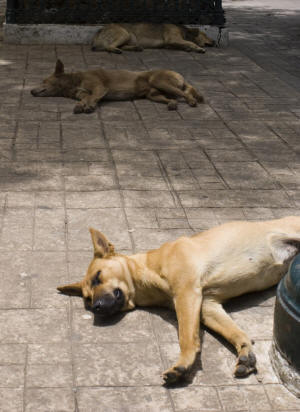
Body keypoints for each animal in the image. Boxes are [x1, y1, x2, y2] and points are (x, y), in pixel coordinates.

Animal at [30, 60, 204, 114]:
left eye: (43, 81)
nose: (31, 91)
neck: (75, 81)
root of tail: (178, 73)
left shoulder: (99, 88)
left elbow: (93, 97)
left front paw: (89, 106)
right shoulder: (83, 94)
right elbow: (84, 99)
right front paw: (81, 106)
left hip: (160, 81)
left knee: (185, 93)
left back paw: (191, 101)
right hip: (153, 95)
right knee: (173, 97)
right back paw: (172, 104)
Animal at [56, 217, 300, 384]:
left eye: (98, 277)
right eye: (87, 299)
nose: (96, 307)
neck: (149, 269)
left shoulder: (187, 293)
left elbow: (186, 338)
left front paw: (183, 364)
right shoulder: (208, 306)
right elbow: (235, 333)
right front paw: (245, 353)